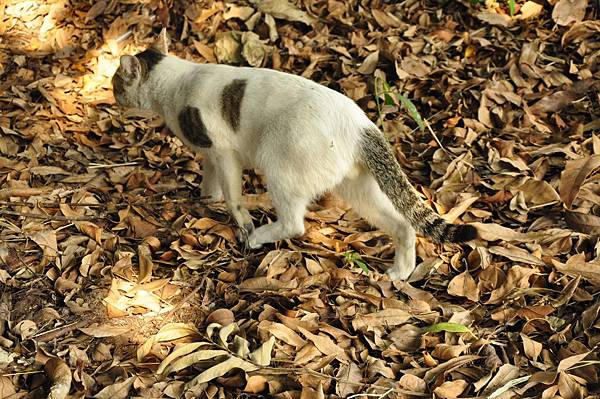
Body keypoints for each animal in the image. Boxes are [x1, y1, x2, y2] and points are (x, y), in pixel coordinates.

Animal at [112, 28, 478, 282]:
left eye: (116, 81)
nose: (112, 92)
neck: (177, 82)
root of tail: (360, 125)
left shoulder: (224, 151)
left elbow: (232, 195)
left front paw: (239, 219)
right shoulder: (210, 153)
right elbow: (210, 180)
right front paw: (206, 197)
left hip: (281, 166)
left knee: (294, 224)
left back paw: (259, 237)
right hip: (357, 187)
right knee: (403, 223)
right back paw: (401, 272)